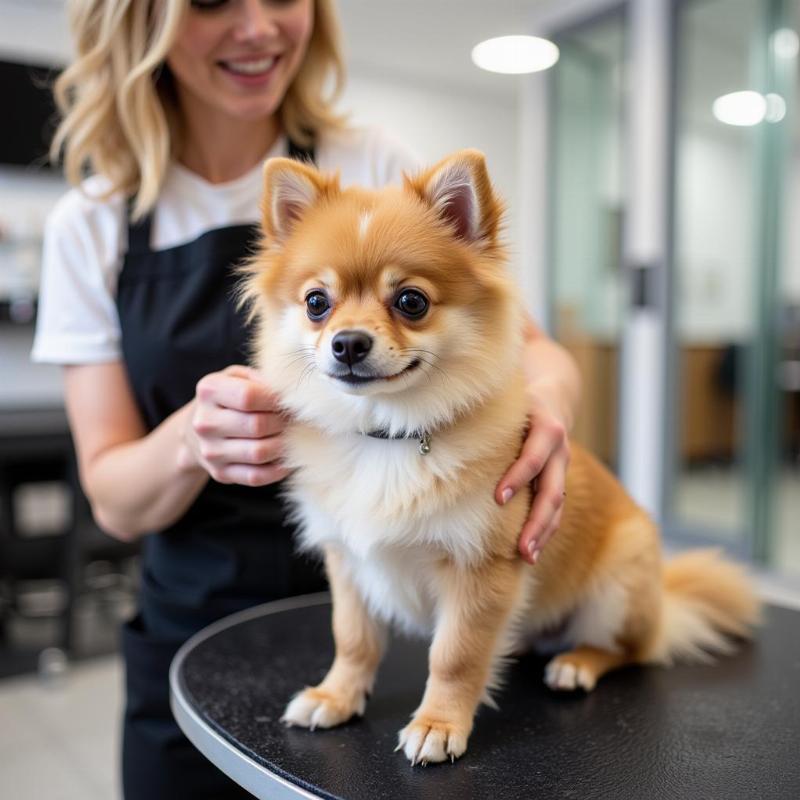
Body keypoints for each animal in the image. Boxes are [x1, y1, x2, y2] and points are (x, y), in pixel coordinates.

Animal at [241, 147, 760, 764]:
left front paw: (438, 724)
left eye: (411, 302)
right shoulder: (348, 560)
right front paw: (336, 696)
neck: (387, 435)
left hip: (618, 588)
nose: (347, 343)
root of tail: (664, 598)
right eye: (316, 303)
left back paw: (577, 663)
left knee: (633, 650)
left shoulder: (480, 567)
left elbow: (455, 655)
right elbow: (353, 639)